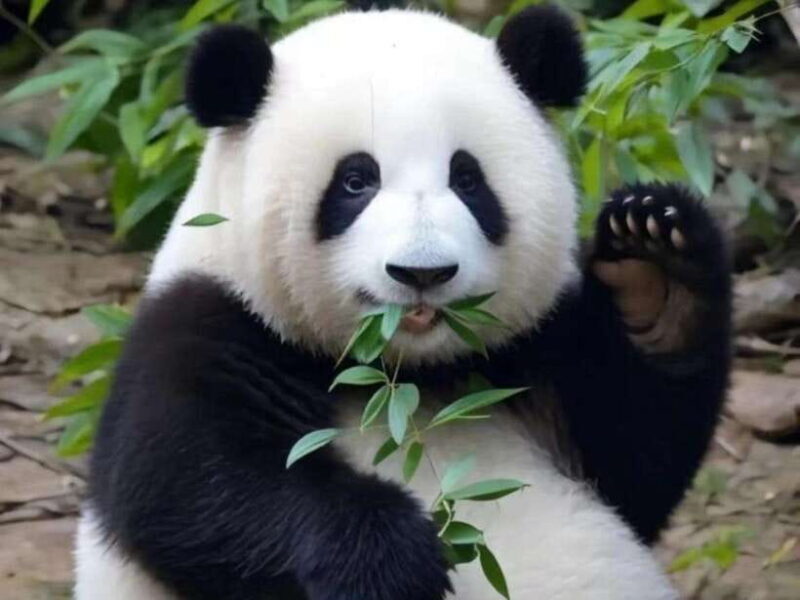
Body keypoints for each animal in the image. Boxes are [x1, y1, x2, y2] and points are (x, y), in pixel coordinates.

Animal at [74, 6, 731, 600]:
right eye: (355, 182)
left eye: (467, 180)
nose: (423, 271)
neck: (403, 379)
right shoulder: (212, 320)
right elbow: (187, 484)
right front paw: (390, 555)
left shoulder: (533, 347)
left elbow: (637, 464)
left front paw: (653, 276)